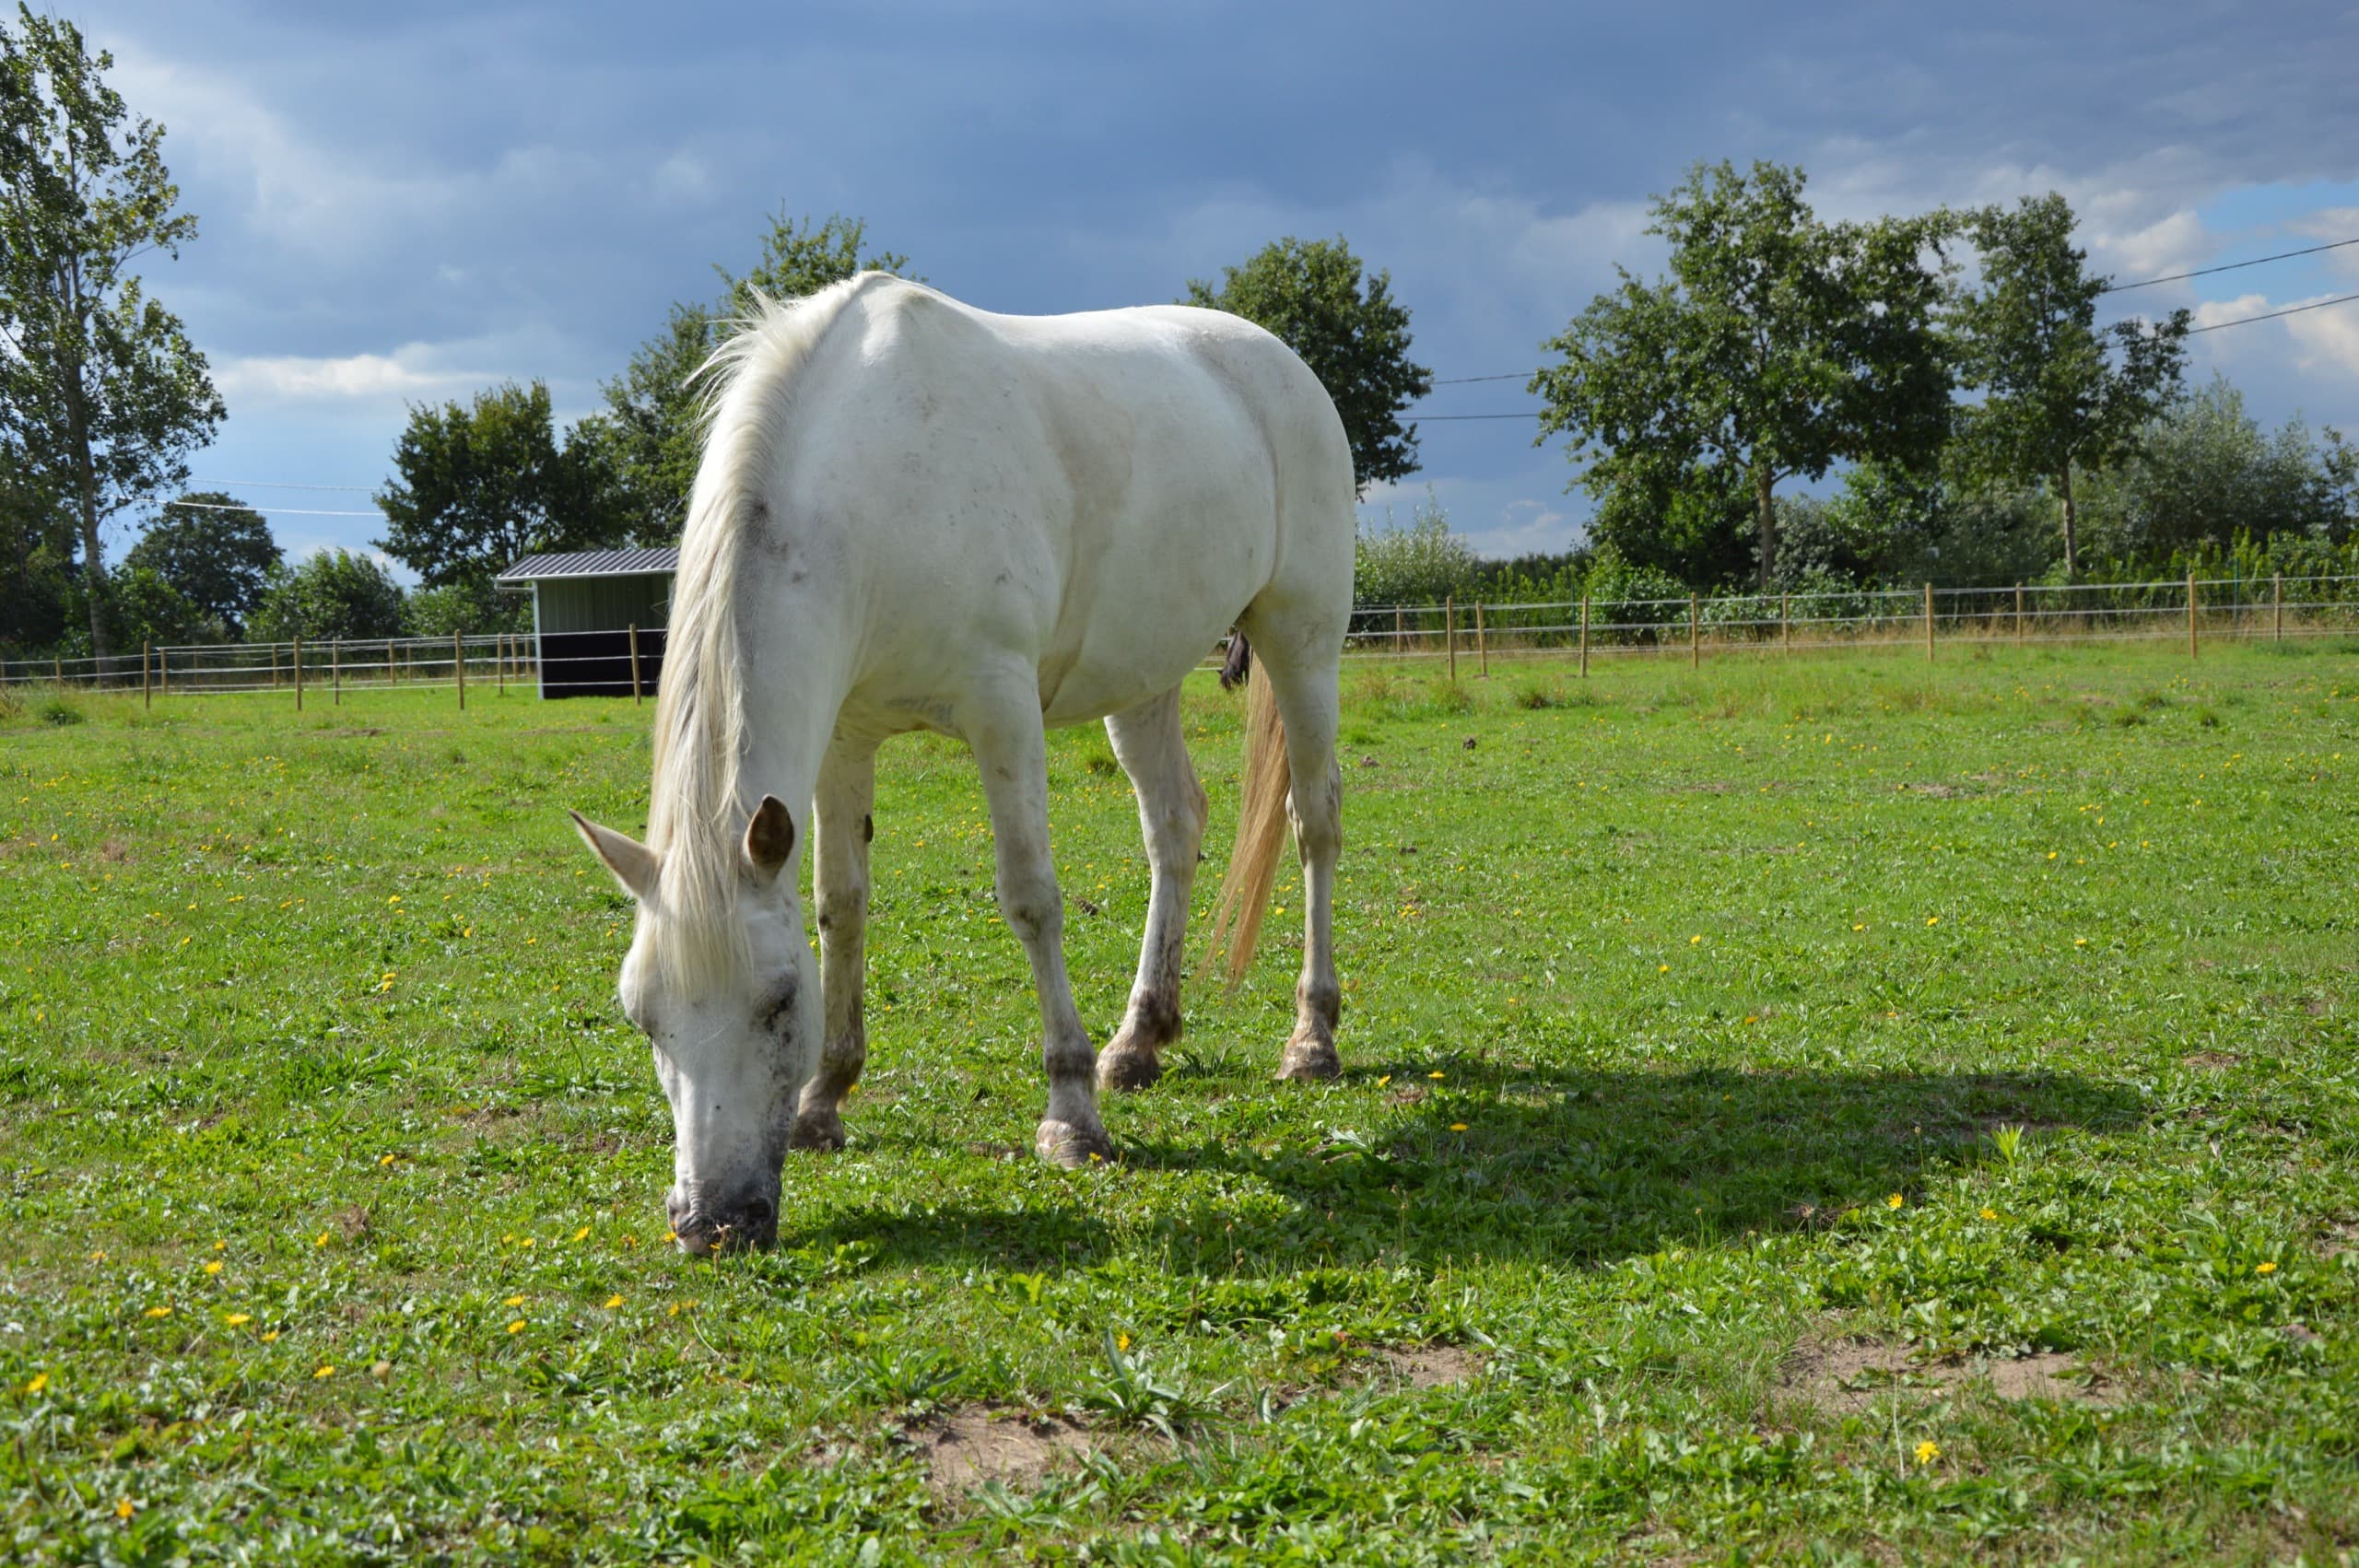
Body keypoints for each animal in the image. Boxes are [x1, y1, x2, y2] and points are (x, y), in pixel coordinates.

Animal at [567, 272, 1354, 1254]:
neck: (874, 493)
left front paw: (1070, 1114)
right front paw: (824, 1100)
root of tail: (1279, 360)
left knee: (1313, 821)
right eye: (642, 1015)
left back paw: (1311, 1040)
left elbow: (1030, 898)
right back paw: (1140, 1040)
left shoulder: (1001, 708)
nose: (711, 1222)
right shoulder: (844, 737)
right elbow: (840, 905)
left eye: (778, 1003)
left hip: (1303, 641)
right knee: (1174, 826)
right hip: (1144, 677)